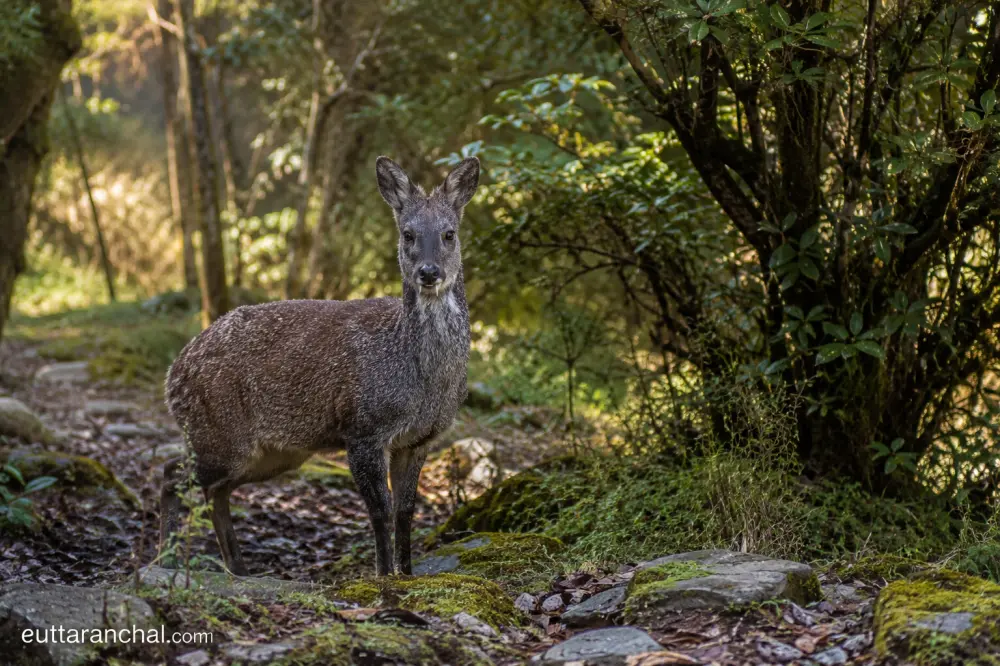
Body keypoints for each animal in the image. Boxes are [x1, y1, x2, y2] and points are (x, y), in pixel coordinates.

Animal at [158, 156, 478, 576]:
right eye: (408, 234)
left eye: (449, 234)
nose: (428, 272)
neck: (420, 377)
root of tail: (173, 373)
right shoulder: (362, 428)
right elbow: (380, 511)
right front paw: (382, 577)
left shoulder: (419, 439)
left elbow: (407, 512)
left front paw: (408, 575)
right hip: (217, 432)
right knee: (171, 476)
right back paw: (163, 561)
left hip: (271, 453)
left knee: (215, 491)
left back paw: (238, 568)